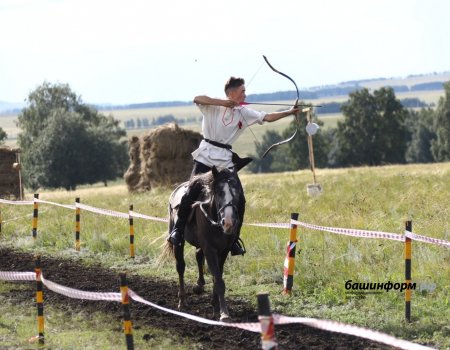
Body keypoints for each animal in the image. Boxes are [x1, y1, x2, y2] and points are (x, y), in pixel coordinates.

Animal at [163, 165, 244, 322]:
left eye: (237, 191)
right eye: (218, 192)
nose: (228, 223)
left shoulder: (223, 251)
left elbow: (216, 277)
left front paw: (216, 307)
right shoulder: (210, 249)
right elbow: (218, 280)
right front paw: (224, 314)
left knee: (198, 255)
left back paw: (199, 285)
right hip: (178, 243)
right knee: (180, 267)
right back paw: (182, 302)